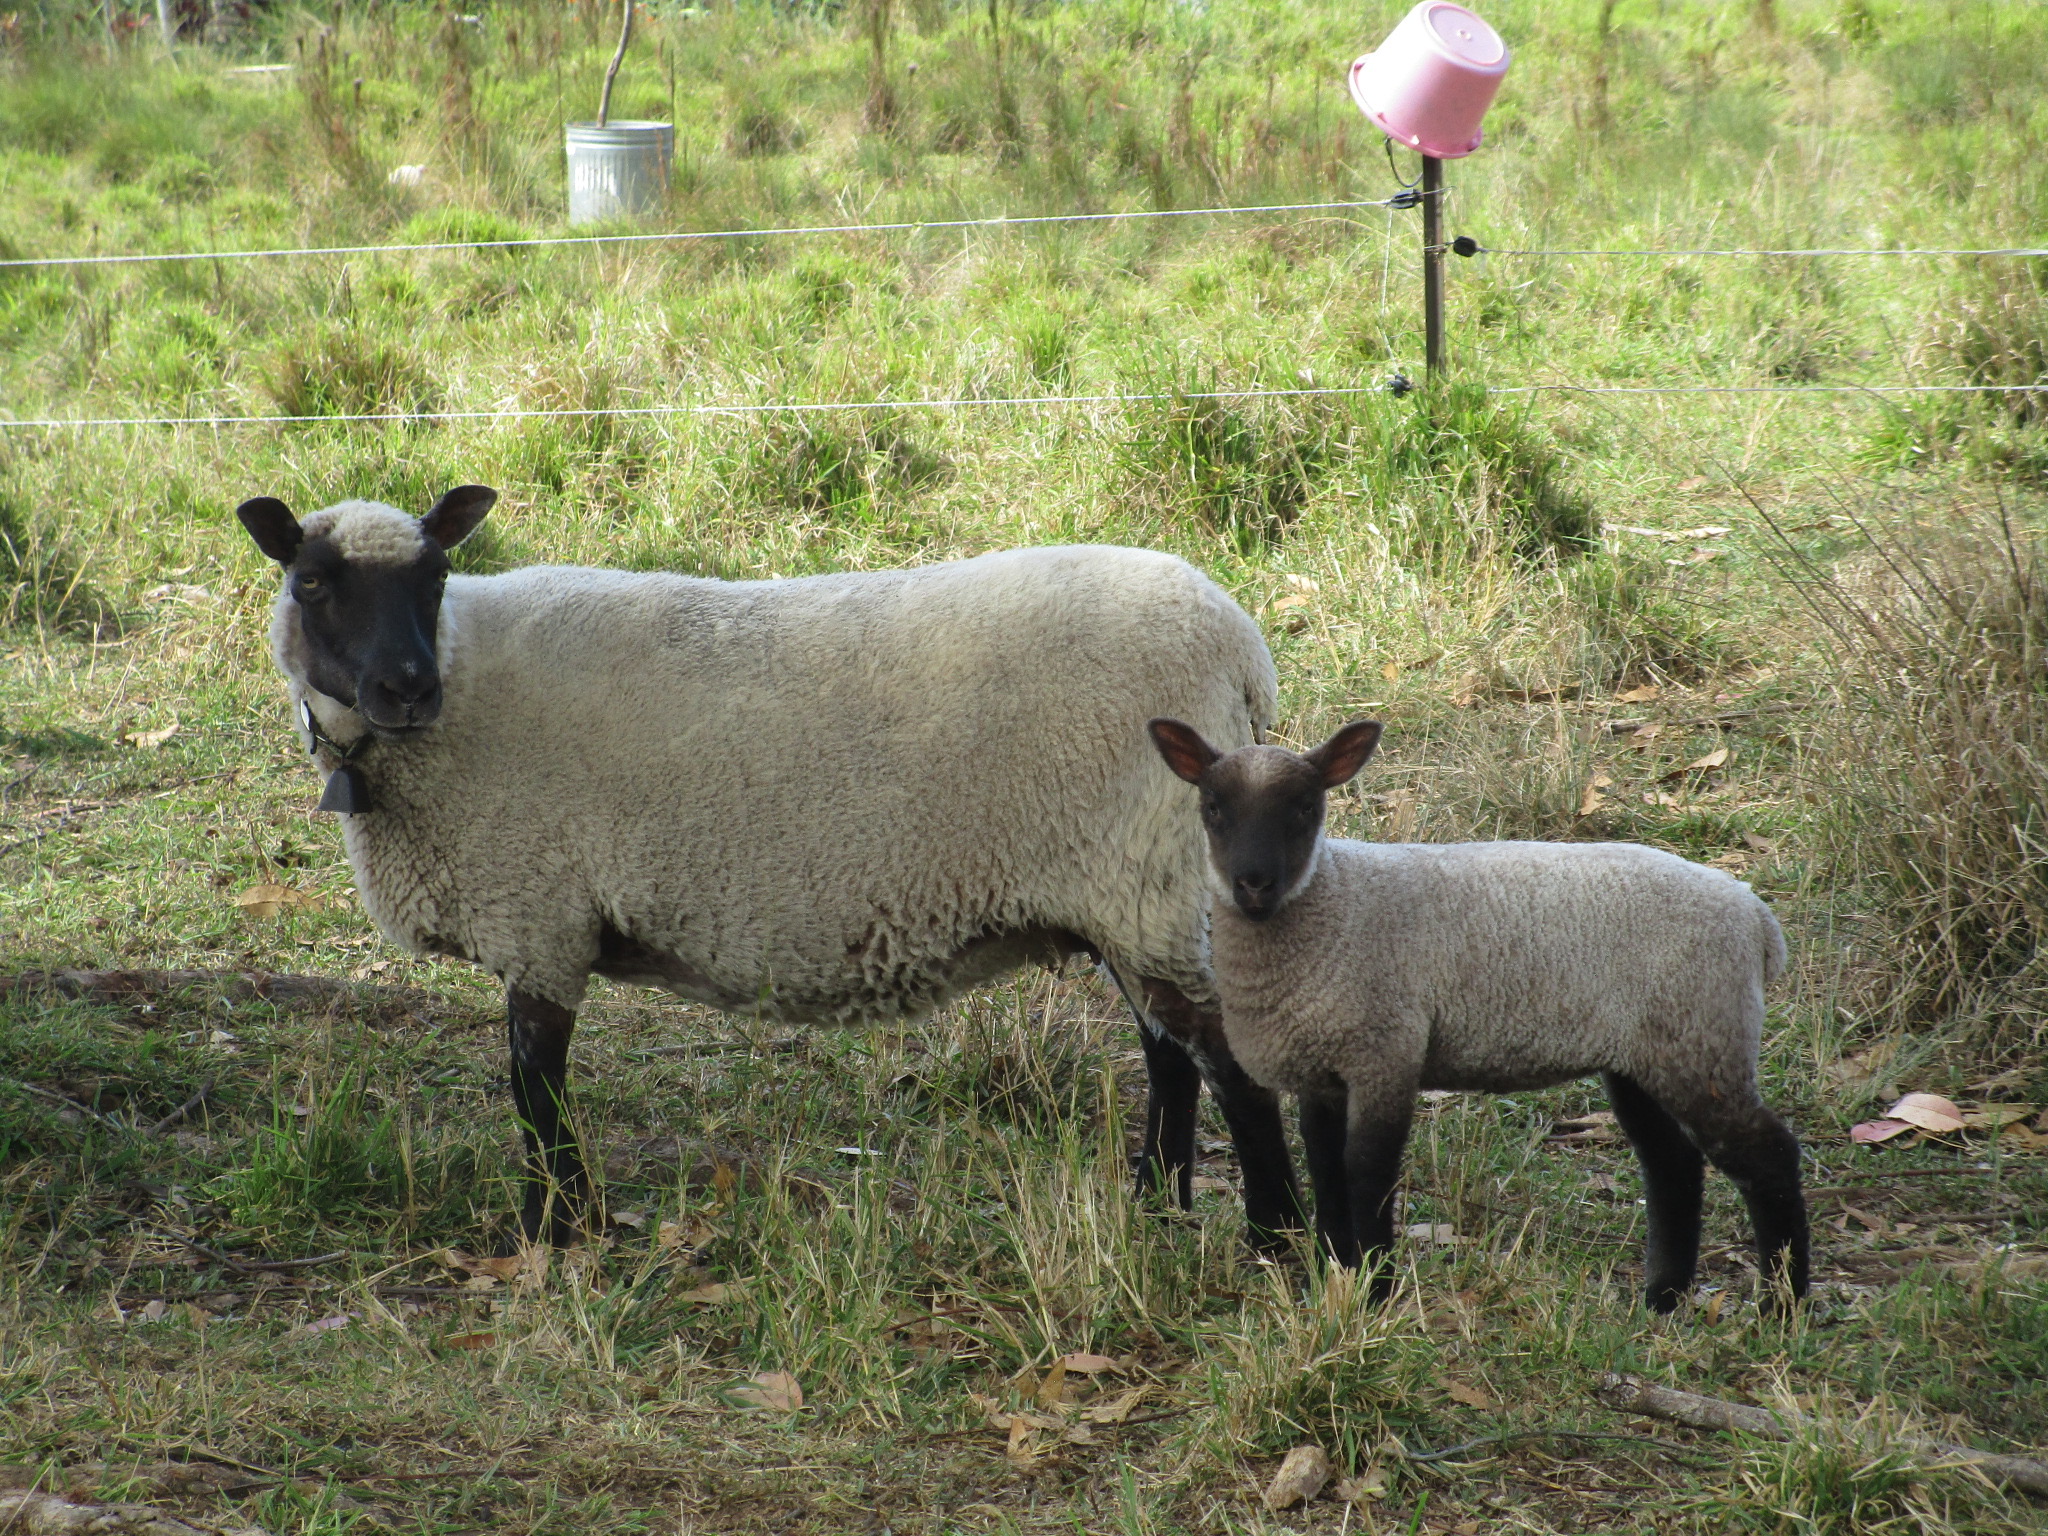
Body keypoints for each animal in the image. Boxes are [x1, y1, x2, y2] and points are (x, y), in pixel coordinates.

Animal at [228, 489, 1310, 1253]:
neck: (458, 695)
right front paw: (568, 1227)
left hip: (1148, 875)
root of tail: (1242, 655)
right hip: (1130, 894)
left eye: (436, 577)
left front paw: (552, 1235)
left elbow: (536, 1093)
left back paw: (1270, 1242)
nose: (406, 686)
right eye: (312, 581)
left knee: (1225, 1068)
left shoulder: (536, 915)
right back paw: (1155, 1212)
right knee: (1169, 1059)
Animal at [1155, 720, 1810, 1310]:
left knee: (1769, 1156)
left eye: (1304, 808)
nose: (1254, 884)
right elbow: (1326, 1171)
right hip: (1646, 1055)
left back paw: (1783, 1306)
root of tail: (1757, 920)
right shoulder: (1325, 1070)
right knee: (1672, 1164)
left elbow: (1367, 1172)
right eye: (1213, 807)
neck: (1332, 901)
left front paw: (1375, 1292)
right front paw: (1334, 1274)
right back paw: (1662, 1299)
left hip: (1703, 1039)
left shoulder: (1385, 1053)